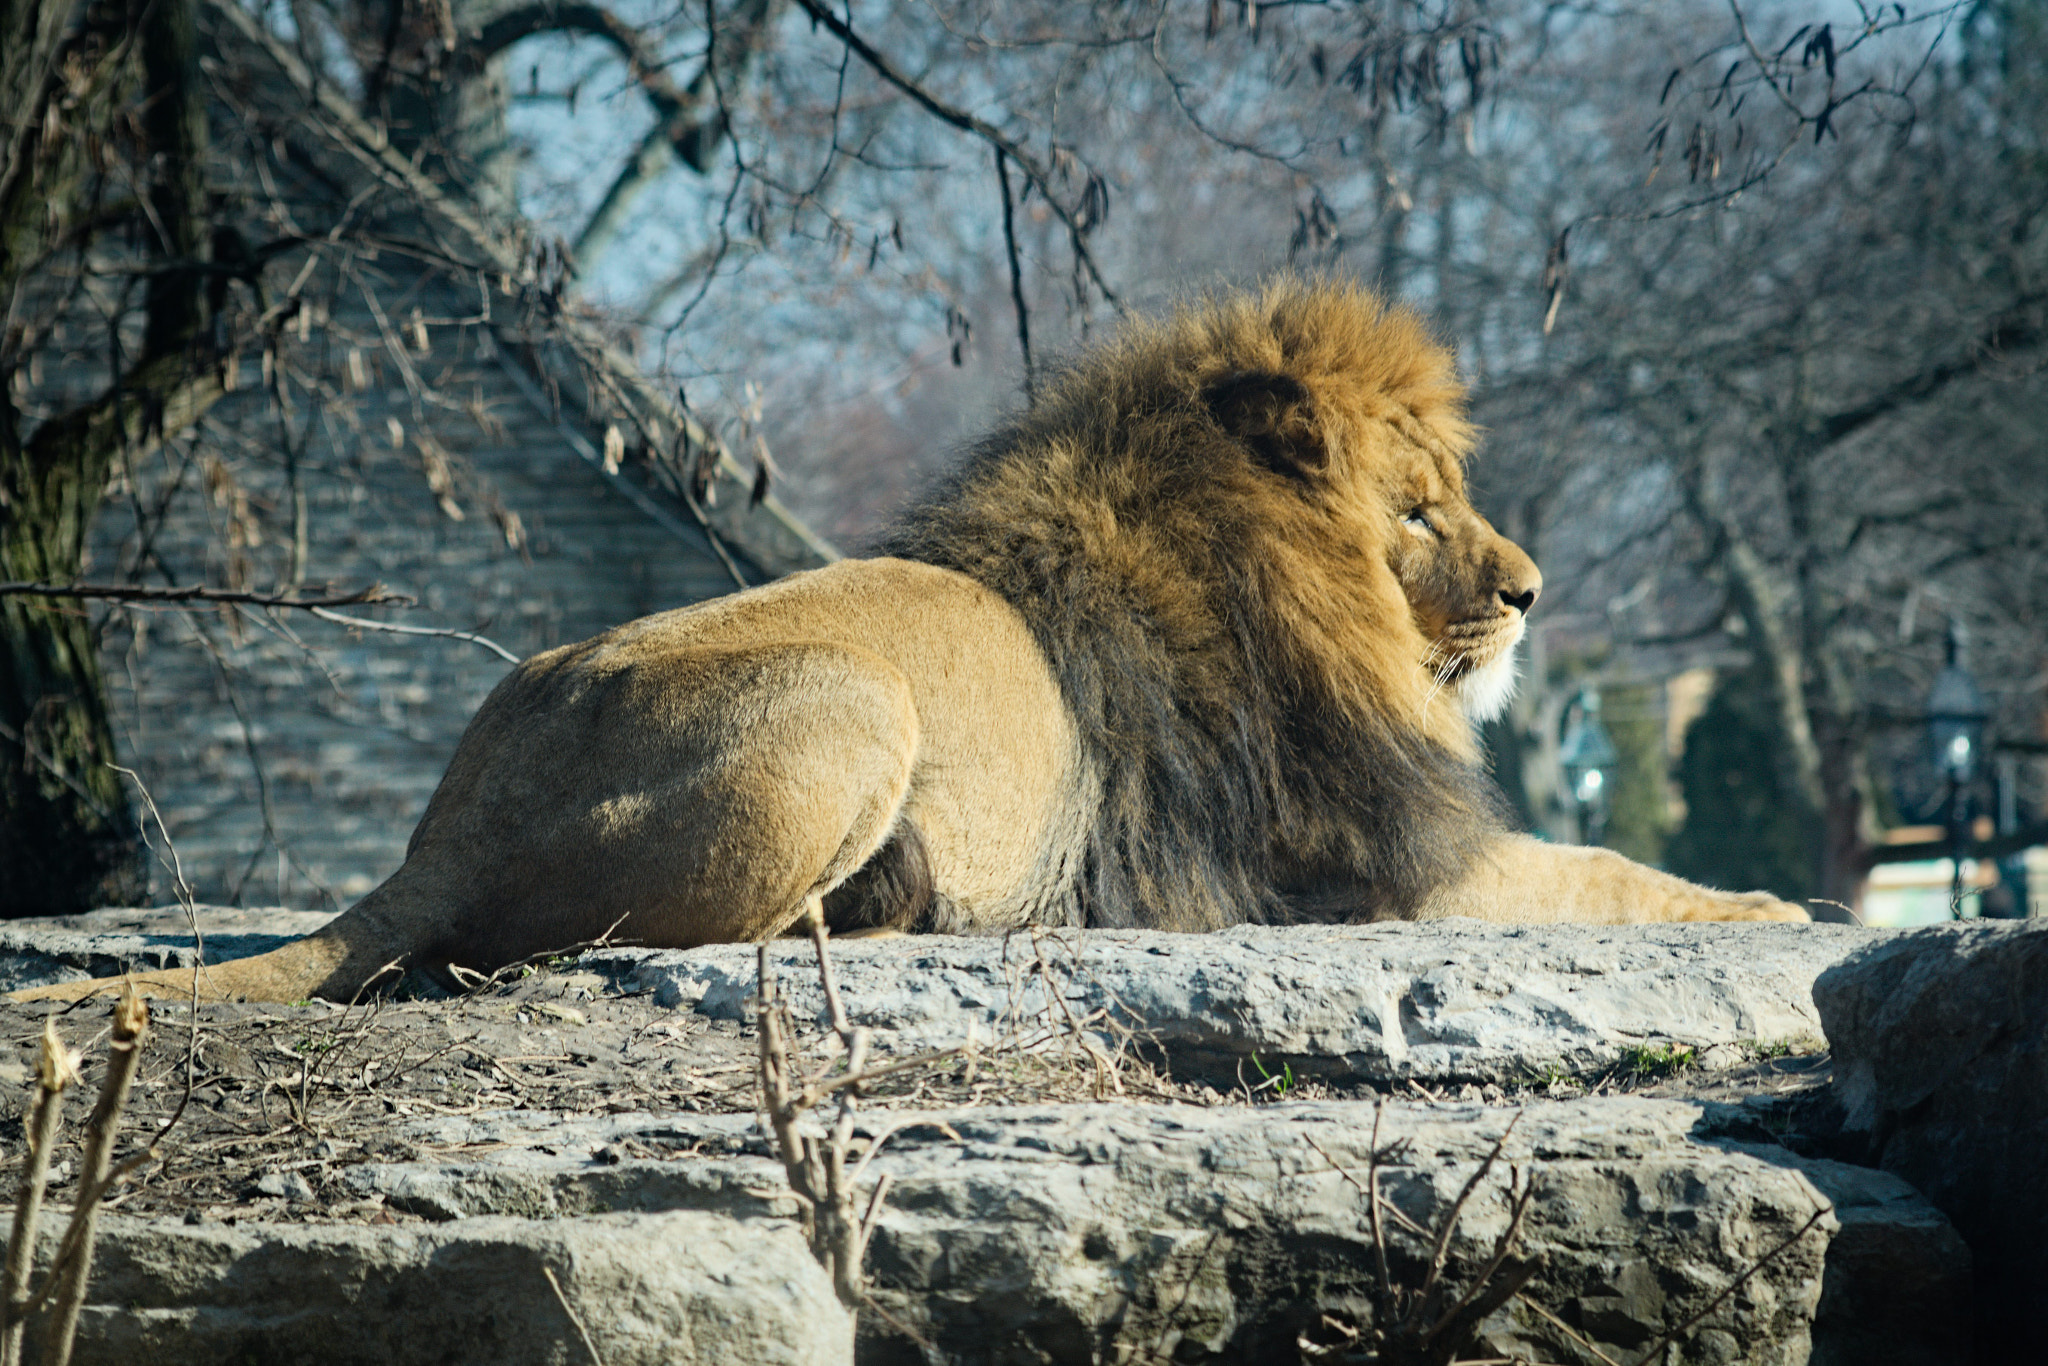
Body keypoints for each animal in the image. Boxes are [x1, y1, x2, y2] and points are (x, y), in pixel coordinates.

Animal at [16, 278, 1810, 1003]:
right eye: (1424, 509)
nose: (1534, 589)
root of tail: (450, 811)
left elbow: (1607, 871)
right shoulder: (1376, 866)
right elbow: (1610, 876)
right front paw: (1771, 905)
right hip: (846, 705)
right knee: (557, 946)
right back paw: (894, 916)